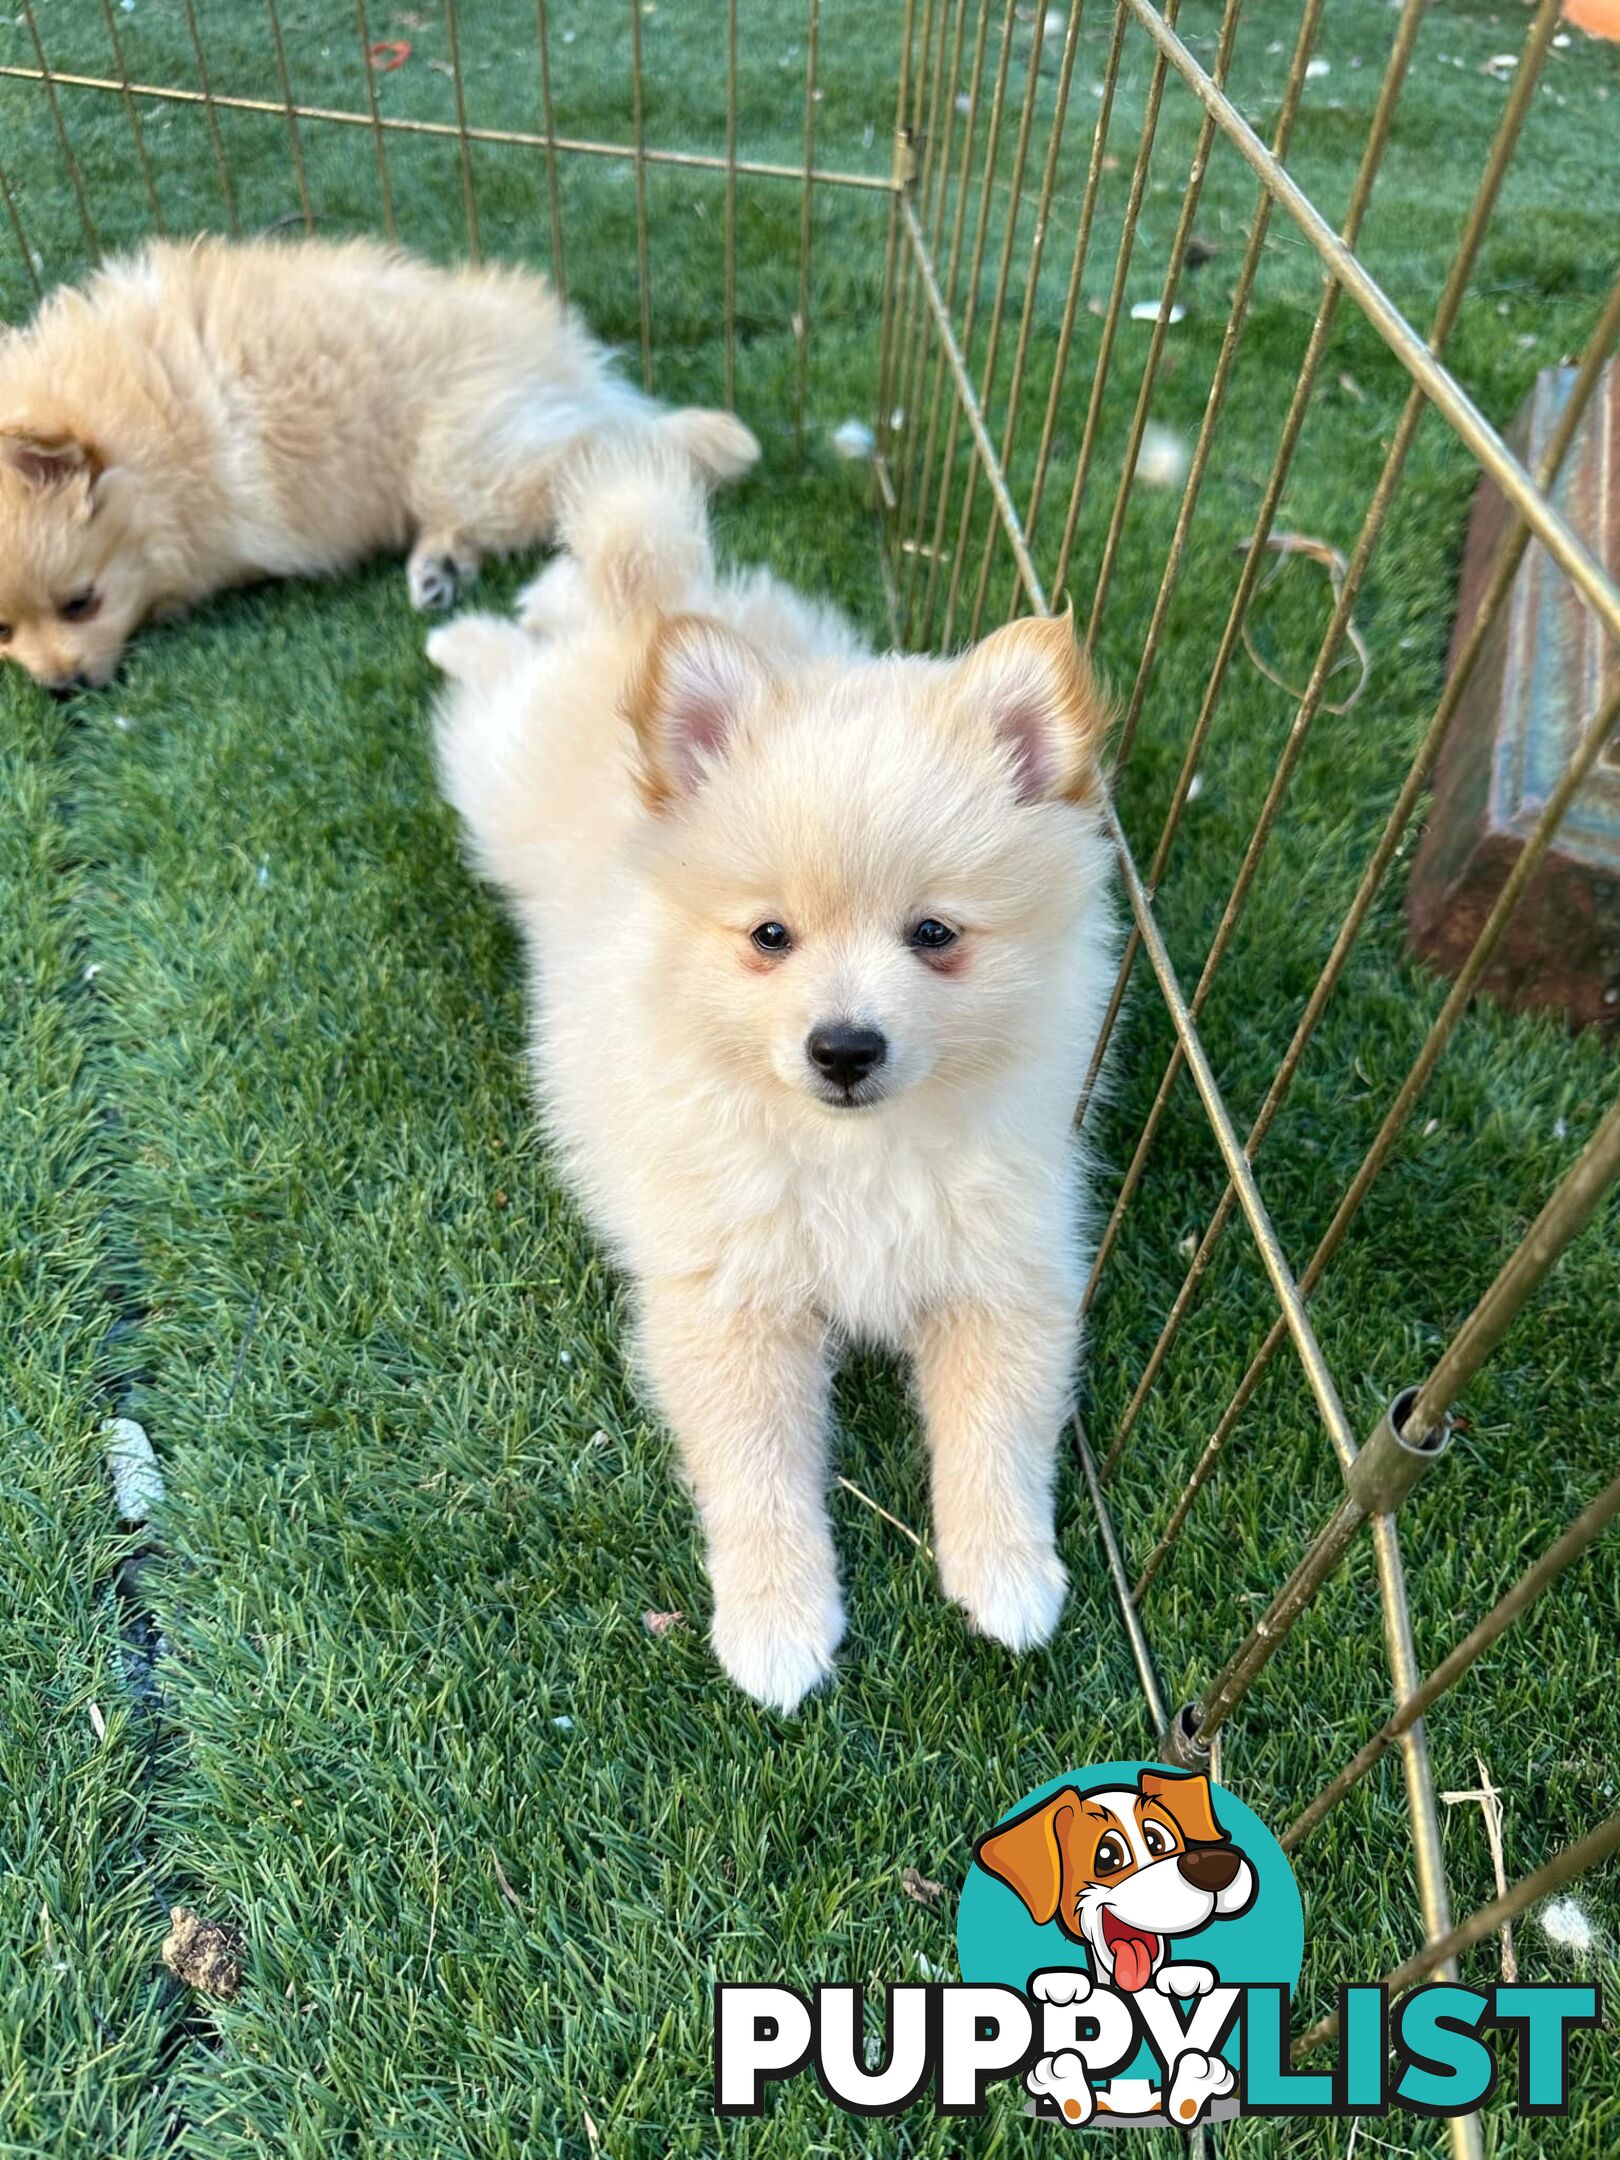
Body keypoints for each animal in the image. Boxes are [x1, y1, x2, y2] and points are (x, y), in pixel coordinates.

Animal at [0, 236, 760, 691]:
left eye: (80, 602)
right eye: (3, 630)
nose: (60, 686)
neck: (149, 435)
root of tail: (566, 362)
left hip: (467, 460)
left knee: (614, 452)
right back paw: (436, 570)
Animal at [427, 447, 1114, 1710]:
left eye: (935, 935)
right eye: (770, 937)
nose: (843, 1046)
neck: (856, 1155)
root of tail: (651, 613)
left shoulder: (1006, 1265)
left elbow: (999, 1428)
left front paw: (1007, 1572)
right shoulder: (727, 1301)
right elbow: (757, 1473)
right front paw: (777, 1622)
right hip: (496, 776)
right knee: (513, 665)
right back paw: (468, 634)